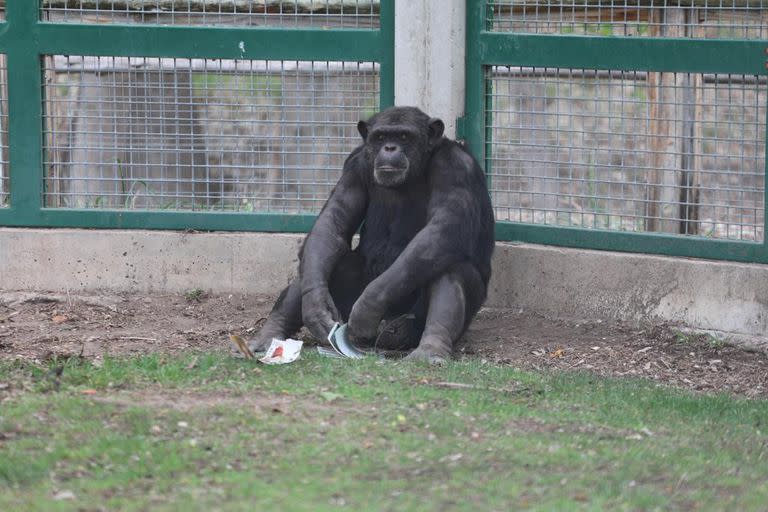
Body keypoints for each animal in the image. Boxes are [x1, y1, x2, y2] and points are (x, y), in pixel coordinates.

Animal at [249, 106, 496, 362]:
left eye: (404, 137)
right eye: (380, 137)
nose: (390, 148)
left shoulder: (455, 168)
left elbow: (444, 227)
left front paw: (368, 307)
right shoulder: (355, 165)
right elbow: (333, 224)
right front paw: (316, 307)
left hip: (406, 324)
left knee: (448, 264)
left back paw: (430, 348)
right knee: (323, 259)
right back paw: (270, 333)